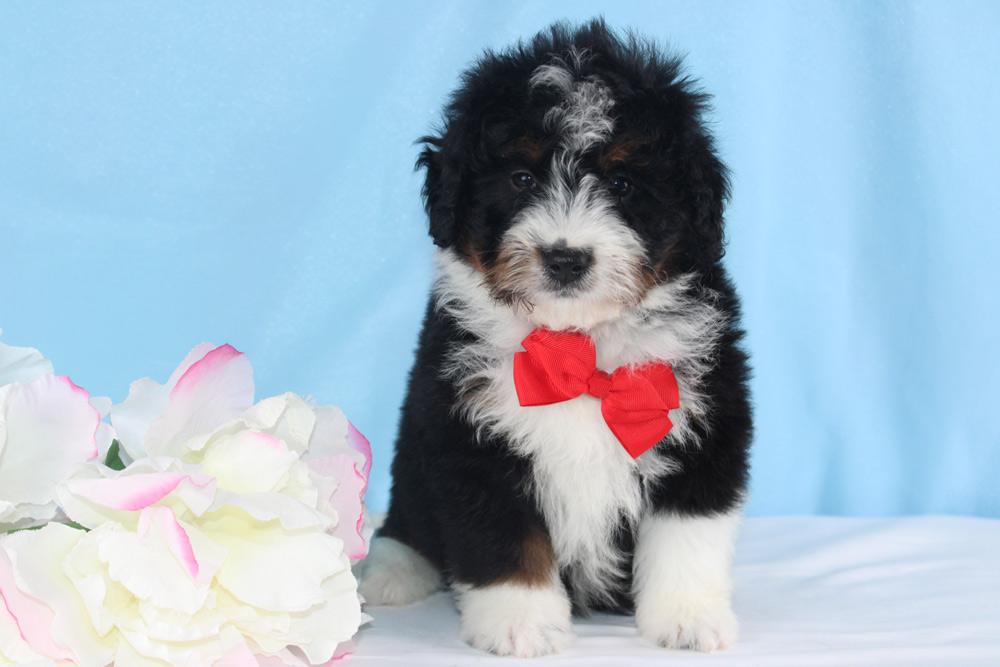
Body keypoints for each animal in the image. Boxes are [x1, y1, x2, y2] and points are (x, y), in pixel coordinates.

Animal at [360, 19, 752, 657]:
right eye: (521, 179)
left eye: (622, 182)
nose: (566, 258)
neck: (578, 345)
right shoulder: (469, 434)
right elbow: (506, 539)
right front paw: (521, 622)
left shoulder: (706, 423)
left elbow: (687, 533)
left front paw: (688, 617)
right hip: (415, 443)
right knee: (411, 512)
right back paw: (392, 569)